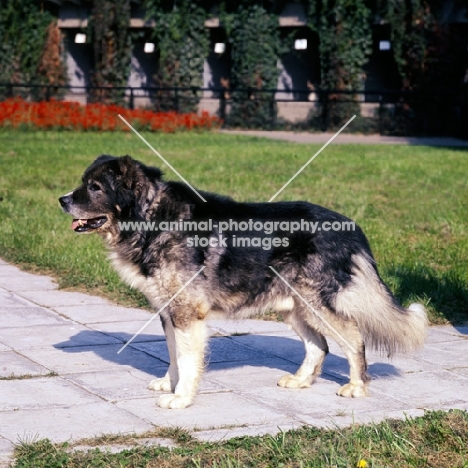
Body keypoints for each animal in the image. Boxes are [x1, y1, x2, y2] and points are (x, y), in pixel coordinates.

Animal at [59, 155, 428, 408]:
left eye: (94, 188)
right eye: (84, 183)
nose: (62, 200)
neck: (150, 218)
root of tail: (351, 228)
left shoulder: (187, 313)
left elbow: (188, 359)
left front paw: (181, 398)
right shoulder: (168, 312)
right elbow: (174, 355)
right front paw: (170, 384)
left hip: (317, 303)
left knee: (353, 339)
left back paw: (357, 387)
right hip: (294, 307)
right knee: (318, 345)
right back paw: (300, 381)